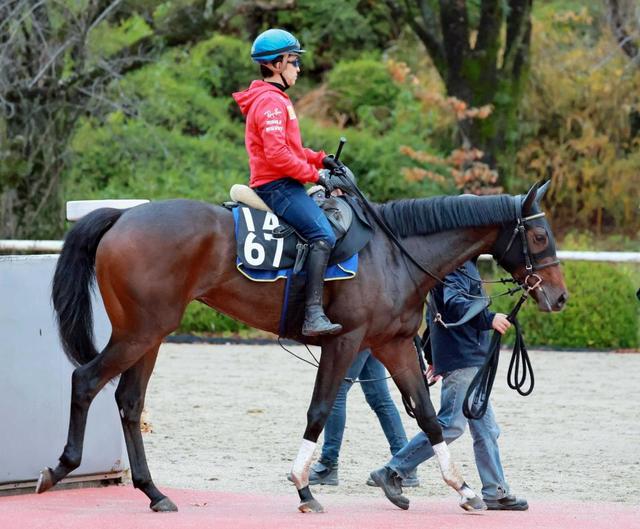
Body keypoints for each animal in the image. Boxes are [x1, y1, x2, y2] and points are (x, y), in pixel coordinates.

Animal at [36, 180, 567, 514]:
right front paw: (304, 487)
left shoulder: (393, 344)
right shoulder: (344, 341)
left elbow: (428, 416)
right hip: (140, 332)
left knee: (129, 402)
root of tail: (124, 216)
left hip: (151, 334)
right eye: (540, 234)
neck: (392, 253)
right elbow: (319, 410)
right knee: (85, 379)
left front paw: (463, 489)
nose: (560, 297)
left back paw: (153, 492)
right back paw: (60, 468)